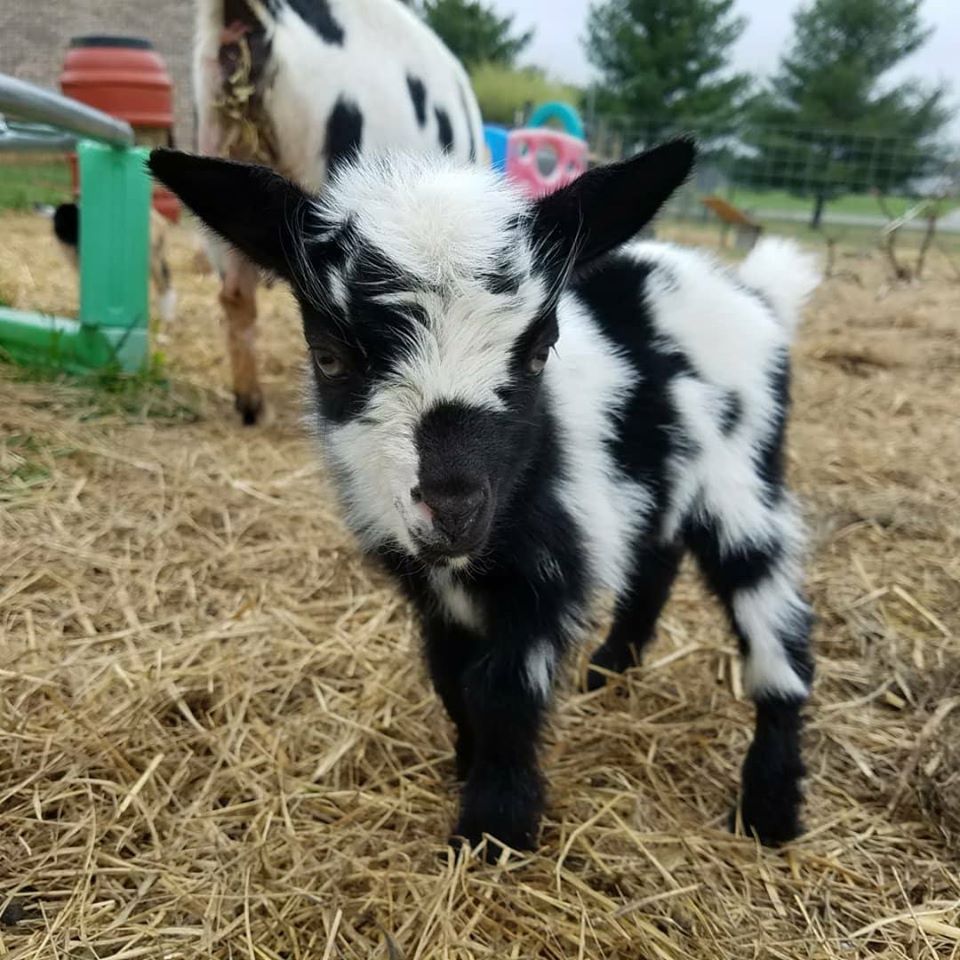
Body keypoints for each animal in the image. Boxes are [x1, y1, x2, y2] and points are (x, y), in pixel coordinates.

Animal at [150, 141, 816, 856]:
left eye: (539, 350)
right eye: (328, 357)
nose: (454, 509)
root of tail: (750, 292)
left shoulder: (549, 571)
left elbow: (501, 690)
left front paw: (495, 827)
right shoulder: (429, 584)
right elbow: (450, 678)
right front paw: (467, 769)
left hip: (741, 473)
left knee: (774, 612)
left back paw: (770, 808)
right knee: (658, 555)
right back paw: (612, 668)